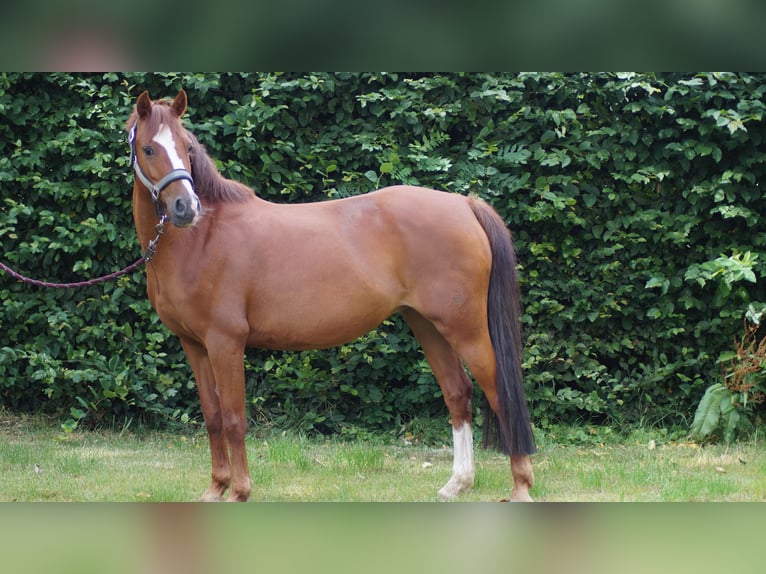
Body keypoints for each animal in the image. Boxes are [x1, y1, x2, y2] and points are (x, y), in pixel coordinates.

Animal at [127, 89, 536, 501]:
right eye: (148, 148)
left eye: (187, 147)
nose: (186, 208)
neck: (202, 239)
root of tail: (464, 204)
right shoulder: (194, 344)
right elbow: (212, 416)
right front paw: (216, 489)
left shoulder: (226, 342)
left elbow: (233, 418)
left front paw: (240, 491)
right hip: (428, 325)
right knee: (457, 392)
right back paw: (457, 483)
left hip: (465, 329)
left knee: (499, 392)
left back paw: (520, 486)